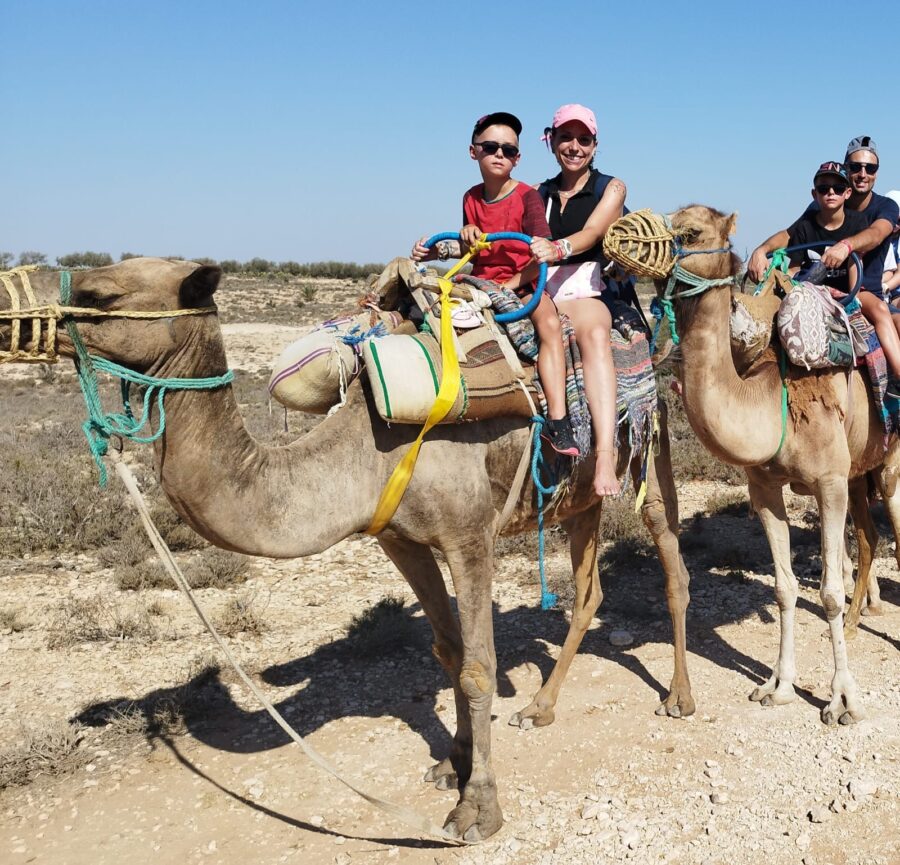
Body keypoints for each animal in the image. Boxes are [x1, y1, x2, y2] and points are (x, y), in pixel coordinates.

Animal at [2, 258, 693, 842]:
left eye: (98, 294)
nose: (8, 312)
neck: (361, 447)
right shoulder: (399, 540)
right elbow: (446, 652)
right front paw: (454, 762)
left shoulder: (468, 536)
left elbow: (477, 668)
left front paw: (478, 809)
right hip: (579, 498)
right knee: (588, 588)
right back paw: (541, 708)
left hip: (650, 444)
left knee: (672, 563)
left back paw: (678, 698)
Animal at [607, 204, 896, 726]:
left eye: (690, 231)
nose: (616, 238)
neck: (768, 398)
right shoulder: (765, 487)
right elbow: (784, 587)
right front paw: (778, 687)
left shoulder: (828, 482)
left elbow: (827, 591)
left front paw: (842, 700)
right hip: (861, 469)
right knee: (868, 537)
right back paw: (857, 619)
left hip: (887, 465)